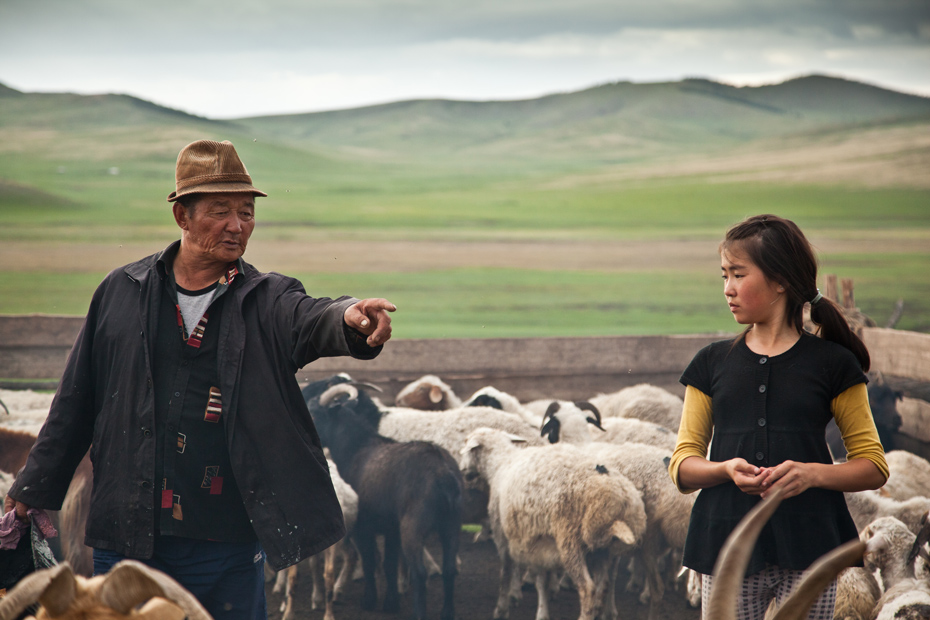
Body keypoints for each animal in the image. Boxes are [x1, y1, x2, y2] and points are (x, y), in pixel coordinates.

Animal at [306, 382, 462, 620]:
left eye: (314, 413)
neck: (356, 448)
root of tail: (444, 474)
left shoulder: (363, 526)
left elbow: (370, 561)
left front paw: (370, 601)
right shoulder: (391, 528)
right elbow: (388, 564)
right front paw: (391, 602)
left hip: (413, 525)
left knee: (420, 572)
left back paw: (419, 613)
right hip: (452, 524)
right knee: (449, 569)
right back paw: (447, 613)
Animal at [456, 426, 644, 620]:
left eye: (467, 447)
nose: (463, 471)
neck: (500, 463)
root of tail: (618, 500)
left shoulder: (503, 534)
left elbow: (506, 572)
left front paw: (502, 608)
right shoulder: (539, 541)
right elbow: (541, 581)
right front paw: (543, 608)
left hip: (571, 542)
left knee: (587, 587)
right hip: (602, 548)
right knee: (604, 584)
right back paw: (599, 612)